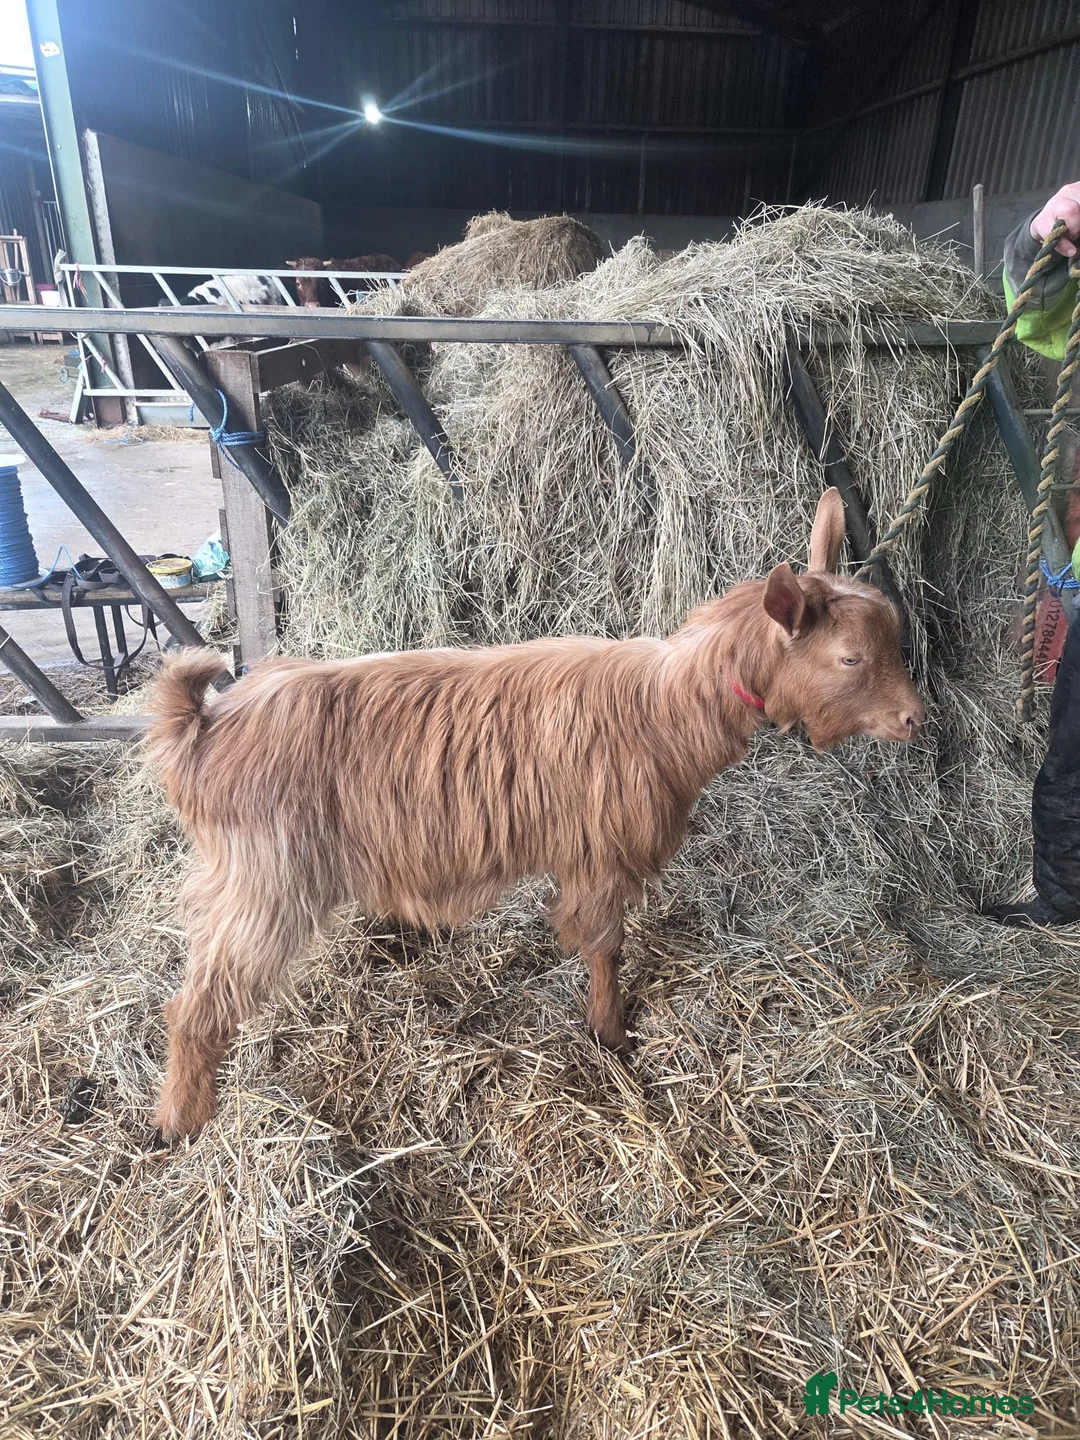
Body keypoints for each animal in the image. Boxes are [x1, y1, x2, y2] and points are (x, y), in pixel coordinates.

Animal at [148, 490, 923, 1140]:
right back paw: (181, 1121)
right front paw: (612, 1035)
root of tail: (203, 731)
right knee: (195, 1005)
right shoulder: (600, 854)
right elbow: (606, 946)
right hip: (264, 884)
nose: (915, 719)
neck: (669, 707)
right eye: (851, 658)